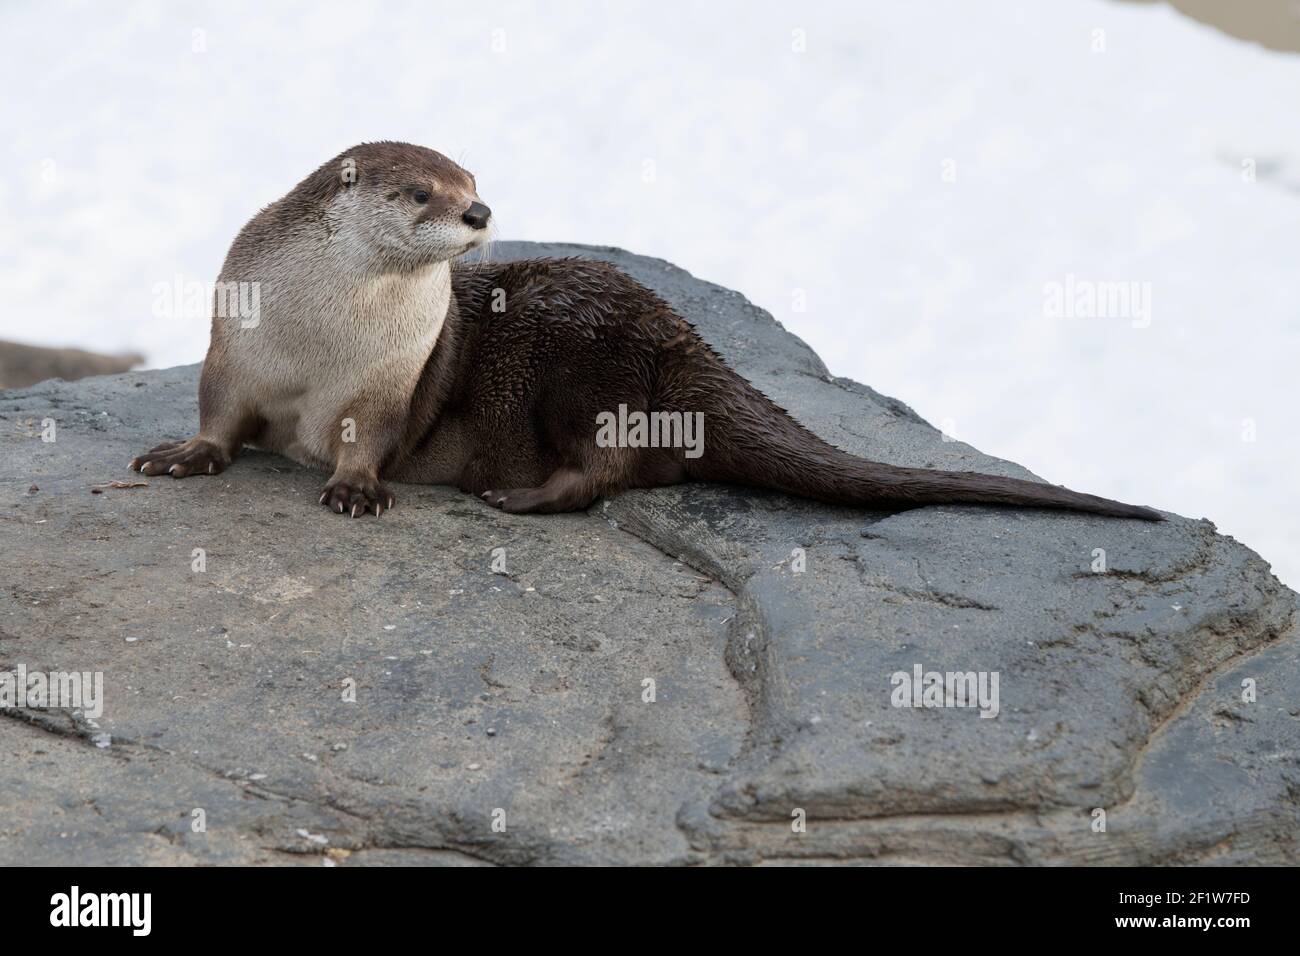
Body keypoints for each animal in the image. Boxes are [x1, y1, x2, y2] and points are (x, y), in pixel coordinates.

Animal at [130, 142, 1161, 523]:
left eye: (473, 182)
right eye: (422, 192)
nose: (479, 213)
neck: (321, 335)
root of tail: (685, 345)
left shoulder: (388, 382)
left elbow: (368, 440)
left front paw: (353, 488)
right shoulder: (235, 344)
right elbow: (218, 414)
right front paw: (182, 456)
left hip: (588, 368)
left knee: (612, 469)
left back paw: (519, 497)